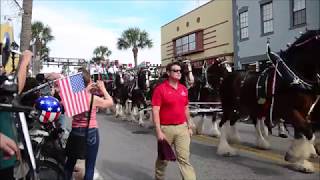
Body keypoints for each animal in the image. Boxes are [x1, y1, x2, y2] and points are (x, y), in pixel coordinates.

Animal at [218, 29, 320, 173]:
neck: (294, 77)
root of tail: (227, 76)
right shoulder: (289, 111)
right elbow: (309, 132)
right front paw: (298, 158)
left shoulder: (303, 112)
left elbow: (303, 133)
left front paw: (298, 160)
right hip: (229, 106)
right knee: (222, 123)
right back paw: (225, 149)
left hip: (242, 109)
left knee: (235, 122)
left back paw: (240, 140)